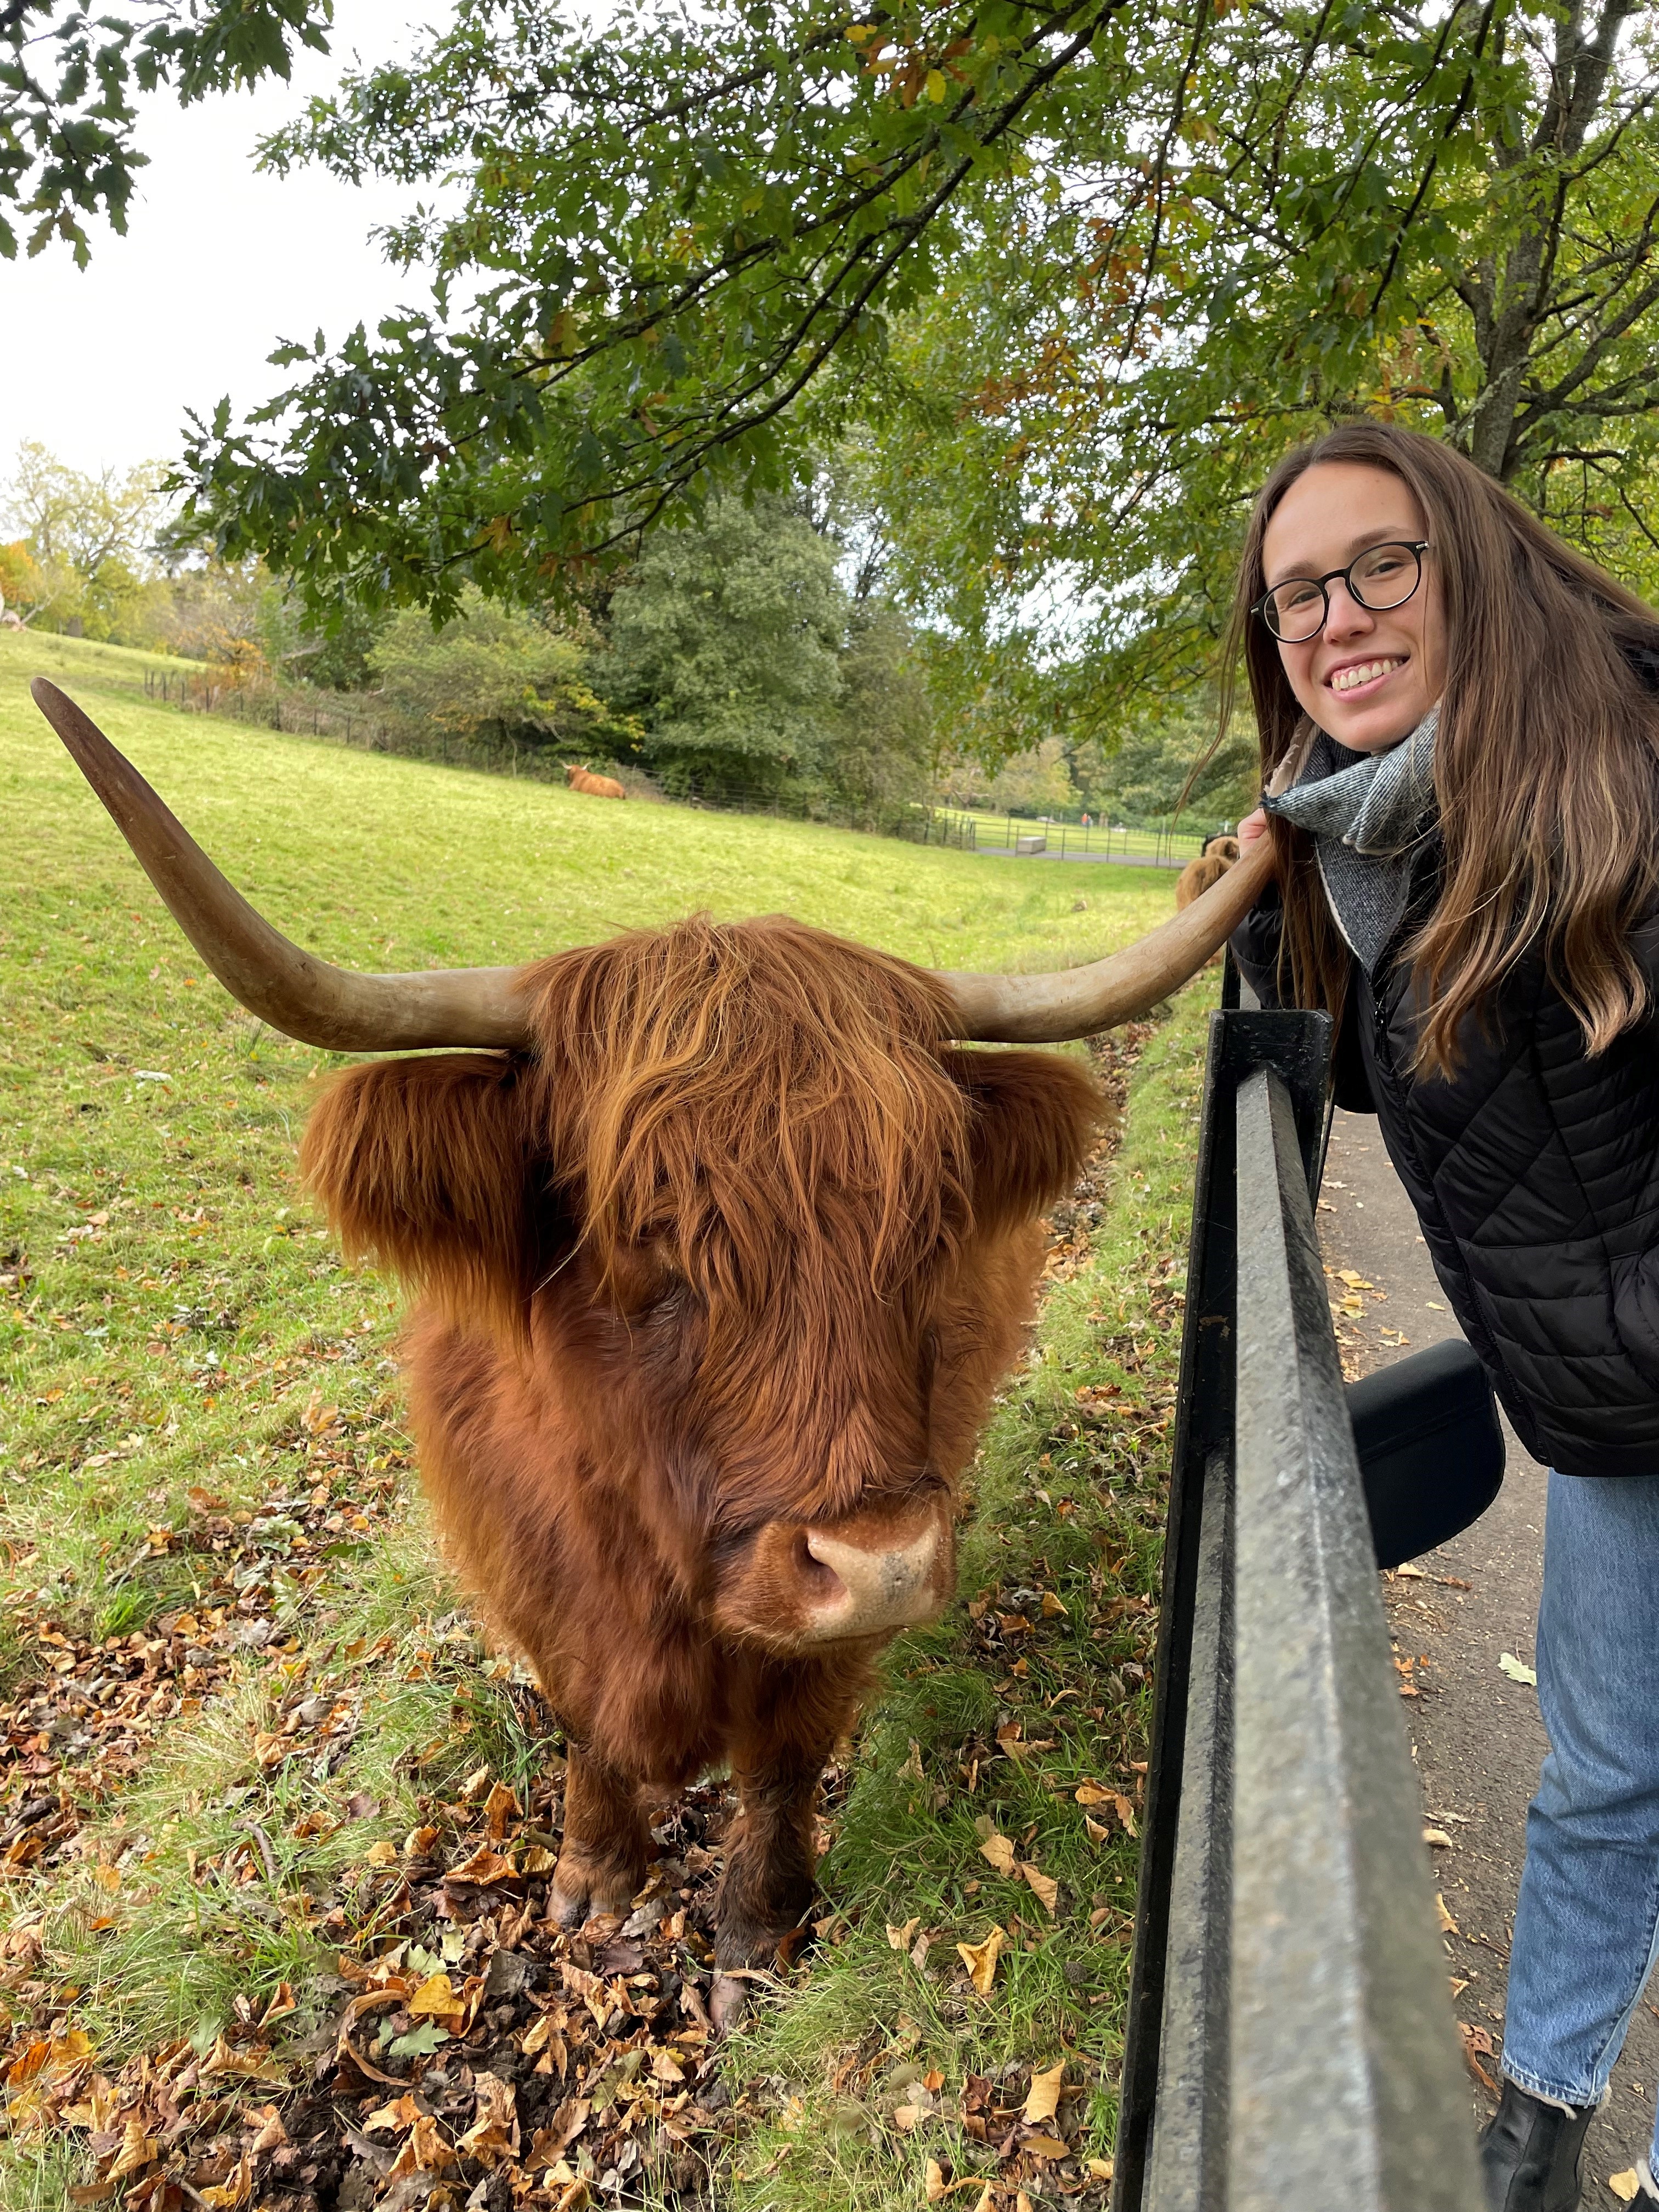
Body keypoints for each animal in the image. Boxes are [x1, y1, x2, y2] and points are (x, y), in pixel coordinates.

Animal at [29, 681, 1274, 2026]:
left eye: (932, 1224)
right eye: (647, 1240)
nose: (882, 1564)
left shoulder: (826, 1628)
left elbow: (783, 1760)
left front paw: (756, 1929)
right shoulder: (531, 1570)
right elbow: (586, 1721)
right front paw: (594, 1872)